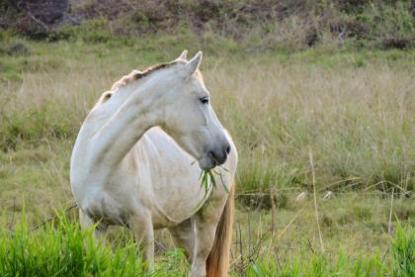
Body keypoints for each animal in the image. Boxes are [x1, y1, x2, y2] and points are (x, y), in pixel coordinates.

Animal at [68, 50, 237, 276]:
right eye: (204, 99)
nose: (223, 149)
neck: (99, 164)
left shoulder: (142, 224)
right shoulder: (92, 223)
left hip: (209, 214)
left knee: (199, 264)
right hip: (180, 224)